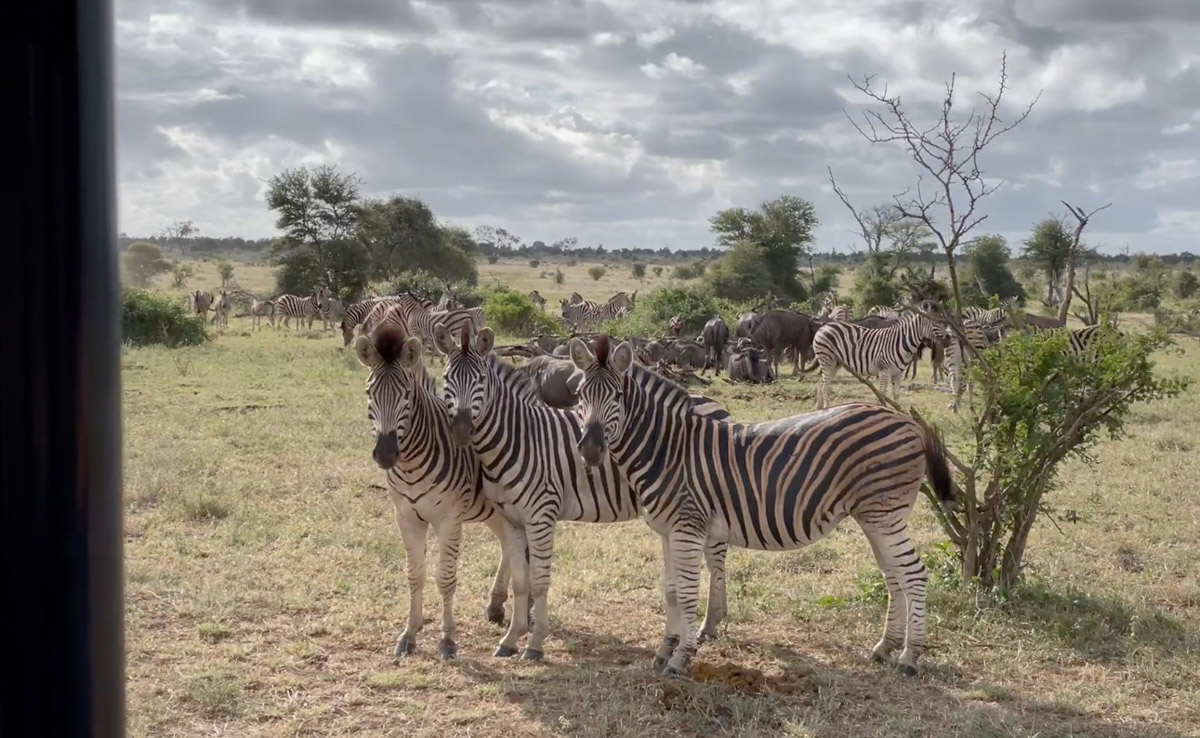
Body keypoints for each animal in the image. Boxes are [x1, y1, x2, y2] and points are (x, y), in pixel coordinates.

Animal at [348, 321, 516, 657]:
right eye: (369, 393)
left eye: (406, 396)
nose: (385, 453)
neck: (412, 464)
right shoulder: (406, 517)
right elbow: (415, 575)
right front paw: (409, 635)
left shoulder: (448, 519)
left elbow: (445, 578)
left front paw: (447, 640)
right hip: (494, 511)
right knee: (508, 546)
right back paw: (496, 606)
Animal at [432, 326, 729, 662]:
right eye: (446, 379)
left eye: (480, 380)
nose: (460, 430)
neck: (520, 437)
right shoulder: (514, 517)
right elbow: (522, 577)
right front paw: (511, 634)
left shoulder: (541, 514)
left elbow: (538, 580)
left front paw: (533, 639)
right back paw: (712, 622)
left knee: (716, 561)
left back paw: (708, 624)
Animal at [568, 338, 955, 676]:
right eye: (580, 396)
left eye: (617, 396)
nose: (590, 450)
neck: (667, 450)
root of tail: (907, 421)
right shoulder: (667, 531)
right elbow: (672, 591)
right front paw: (665, 649)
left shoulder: (687, 527)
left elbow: (689, 593)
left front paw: (681, 658)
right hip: (875, 516)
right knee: (894, 574)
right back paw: (885, 648)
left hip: (885, 513)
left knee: (913, 574)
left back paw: (909, 658)